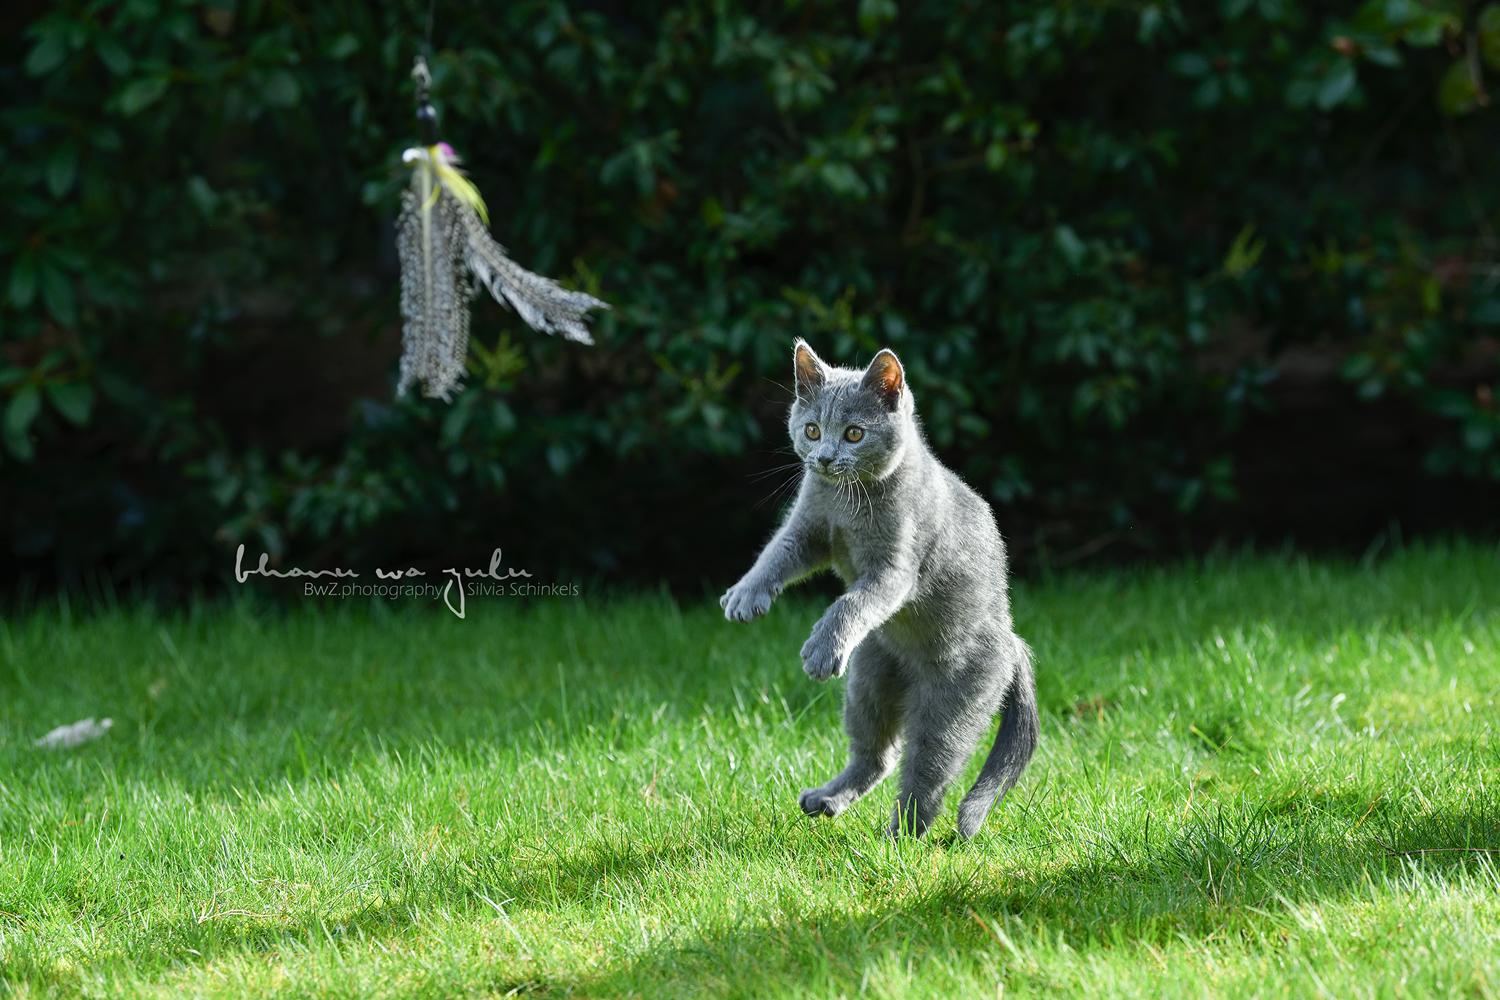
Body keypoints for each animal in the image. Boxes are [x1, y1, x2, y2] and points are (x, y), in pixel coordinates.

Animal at [720, 340, 1038, 839]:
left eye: (854, 433)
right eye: (812, 429)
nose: (824, 458)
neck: (846, 502)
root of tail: (1013, 643)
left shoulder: (895, 569)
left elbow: (853, 600)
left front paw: (821, 648)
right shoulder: (808, 528)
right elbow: (776, 552)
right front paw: (745, 595)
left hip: (951, 706)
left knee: (927, 772)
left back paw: (899, 838)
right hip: (868, 674)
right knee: (877, 754)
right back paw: (826, 799)